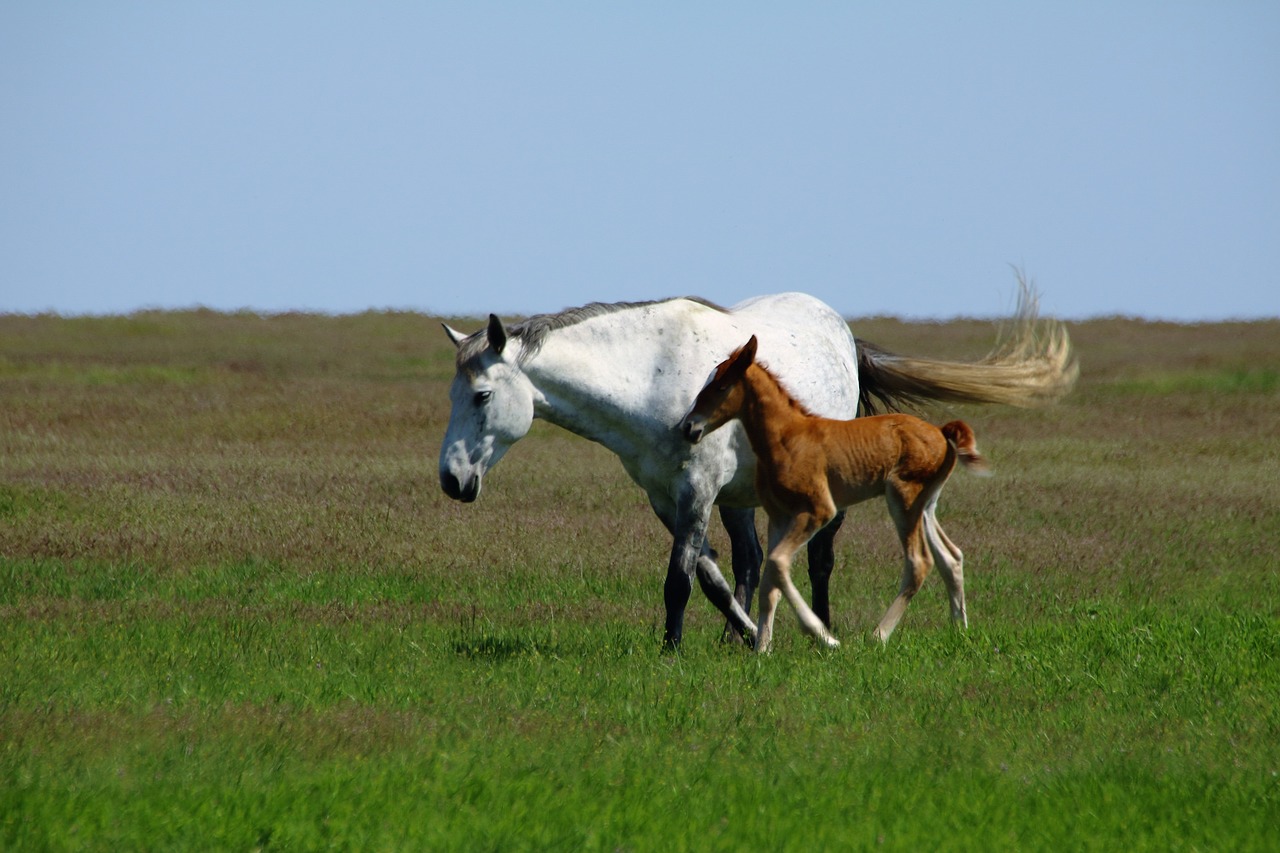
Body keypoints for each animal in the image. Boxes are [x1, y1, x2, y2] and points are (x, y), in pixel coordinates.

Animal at [440, 284, 1080, 645]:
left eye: (482, 396)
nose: (452, 480)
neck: (652, 376)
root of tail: (841, 331)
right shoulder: (667, 498)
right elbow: (713, 578)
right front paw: (746, 636)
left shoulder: (697, 490)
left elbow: (679, 579)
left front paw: (670, 651)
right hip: (743, 501)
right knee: (749, 561)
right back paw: (740, 635)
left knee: (821, 560)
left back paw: (826, 624)